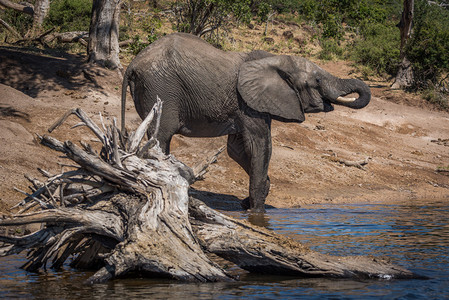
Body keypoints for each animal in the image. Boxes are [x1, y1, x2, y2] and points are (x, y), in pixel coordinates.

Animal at [121, 32, 370, 211]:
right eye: (317, 80)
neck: (276, 59)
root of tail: (132, 63)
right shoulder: (249, 104)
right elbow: (259, 145)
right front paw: (257, 213)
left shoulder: (245, 106)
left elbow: (237, 150)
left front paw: (251, 200)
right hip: (160, 89)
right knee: (161, 137)